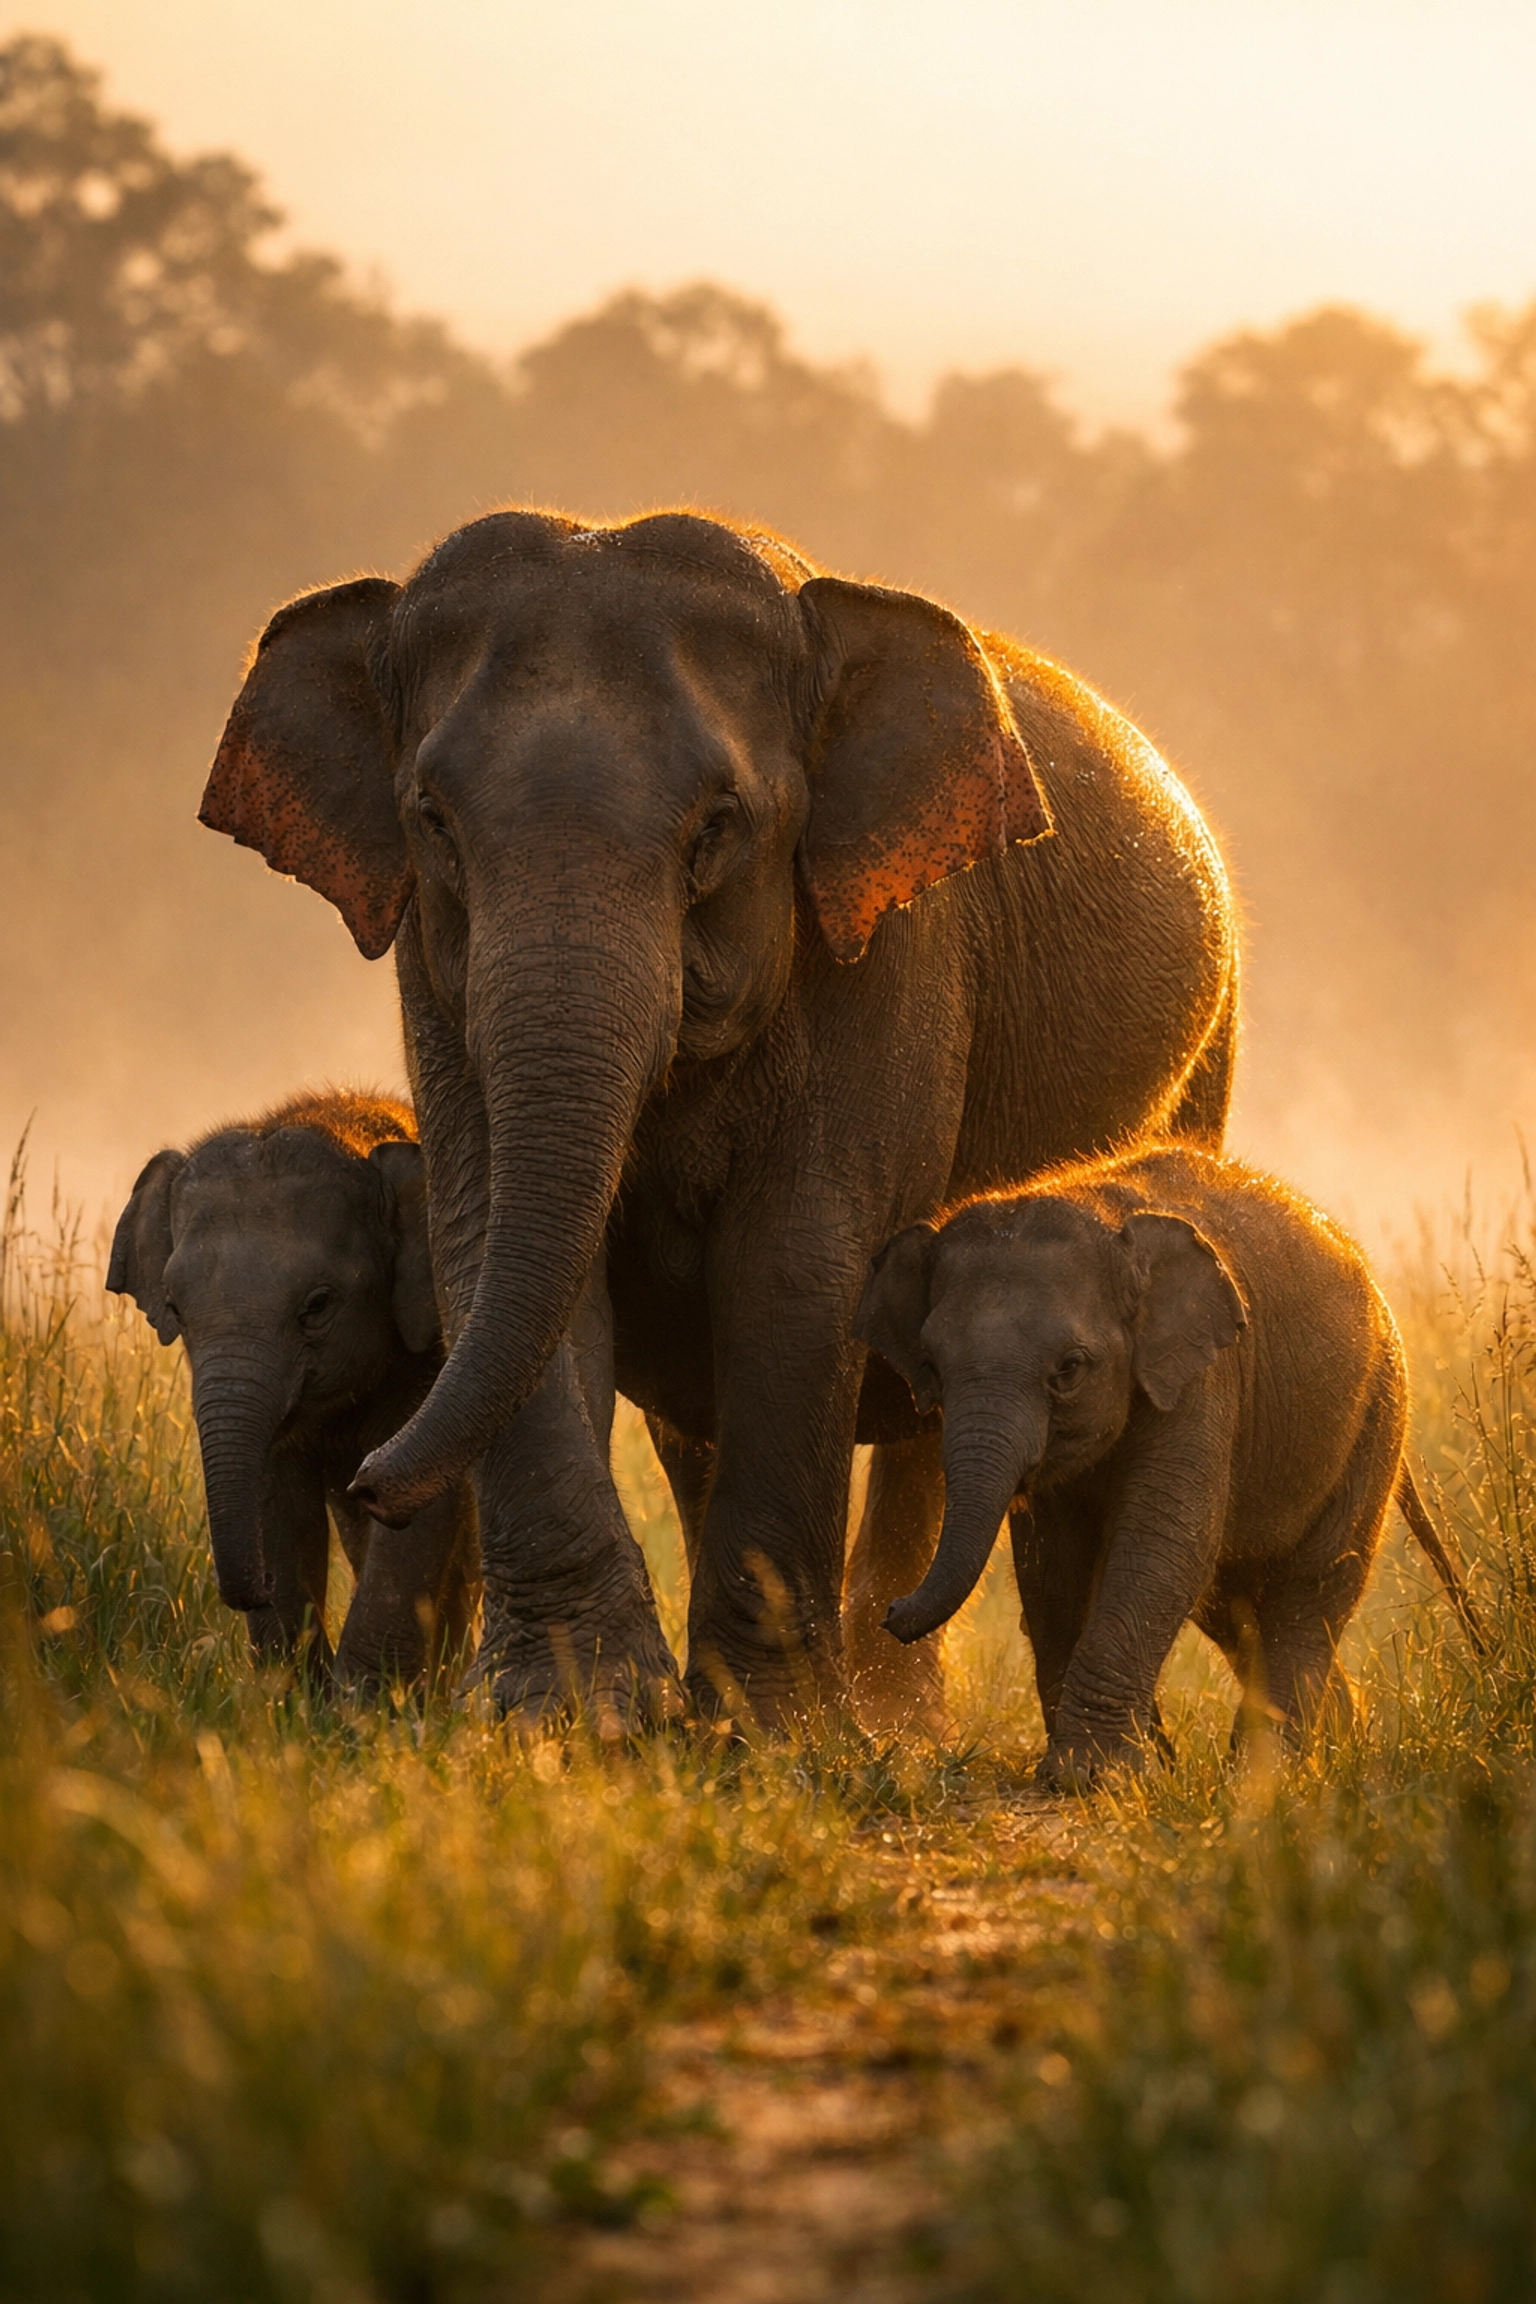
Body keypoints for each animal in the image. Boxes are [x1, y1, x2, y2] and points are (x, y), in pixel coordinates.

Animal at [108, 1089, 480, 1689]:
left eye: (318, 1305)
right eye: (174, 1308)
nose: (251, 1588)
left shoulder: (431, 1354)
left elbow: (422, 1510)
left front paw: (364, 1704)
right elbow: (276, 1498)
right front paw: (296, 1698)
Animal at [198, 508, 1238, 1730]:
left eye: (718, 828)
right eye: (433, 820)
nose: (370, 1483)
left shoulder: (888, 953)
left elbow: (794, 1264)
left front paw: (782, 1736)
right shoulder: (432, 972)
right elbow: (502, 1247)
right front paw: (583, 1720)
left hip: (1208, 1067)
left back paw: (893, 1718)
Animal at [857, 1143, 1485, 1782]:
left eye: (1069, 1369)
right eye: (932, 1365)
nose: (892, 1612)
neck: (1095, 1205)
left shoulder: (1204, 1379)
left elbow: (1163, 1542)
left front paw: (1095, 1776)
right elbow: (1050, 1562)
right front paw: (1120, 1767)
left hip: (1374, 1419)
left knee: (1312, 1586)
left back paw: (1268, 1774)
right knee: (1238, 1607)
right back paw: (1331, 1748)